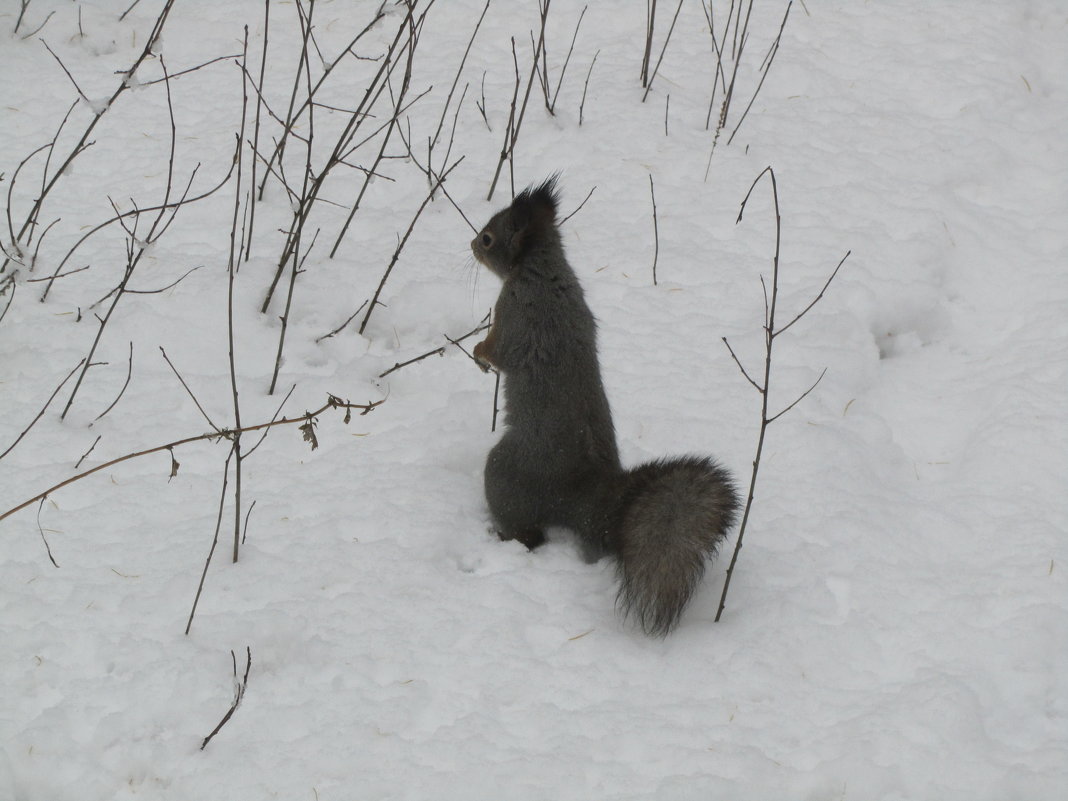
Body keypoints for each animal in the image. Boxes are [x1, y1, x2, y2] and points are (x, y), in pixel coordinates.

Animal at [472, 178, 739, 636]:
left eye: (489, 238)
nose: (472, 245)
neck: (541, 267)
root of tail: (584, 495)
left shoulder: (514, 312)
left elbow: (499, 350)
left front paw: (477, 352)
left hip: (505, 477)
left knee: (528, 534)